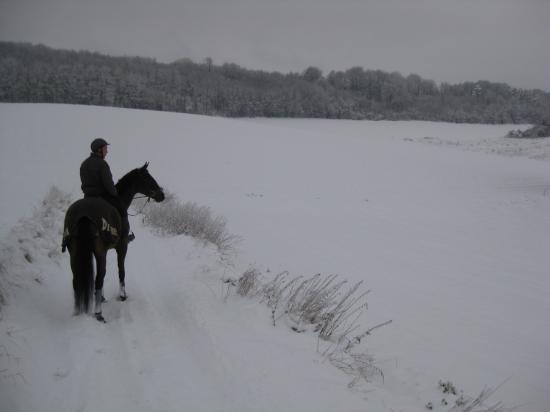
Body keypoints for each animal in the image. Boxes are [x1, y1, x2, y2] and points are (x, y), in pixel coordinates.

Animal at [63, 163, 165, 322]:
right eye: (148, 178)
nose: (162, 195)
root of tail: (83, 215)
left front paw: (102, 297)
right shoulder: (122, 246)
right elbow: (121, 270)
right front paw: (122, 296)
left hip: (74, 253)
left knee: (77, 281)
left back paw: (77, 312)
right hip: (100, 252)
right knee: (99, 278)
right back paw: (98, 314)